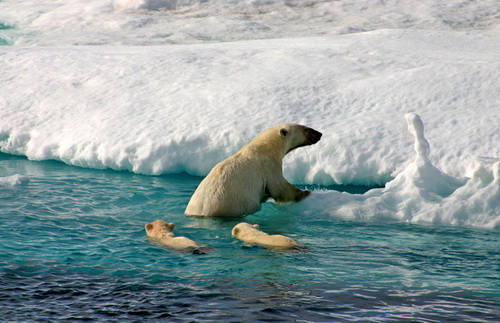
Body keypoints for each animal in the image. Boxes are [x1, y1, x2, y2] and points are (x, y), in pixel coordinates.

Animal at [186, 124, 322, 218]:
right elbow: (279, 187)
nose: (320, 134)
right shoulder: (269, 166)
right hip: (234, 205)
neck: (264, 147)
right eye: (306, 128)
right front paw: (305, 192)